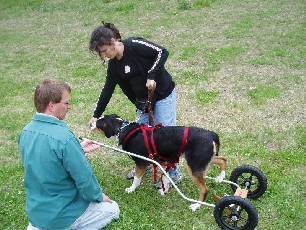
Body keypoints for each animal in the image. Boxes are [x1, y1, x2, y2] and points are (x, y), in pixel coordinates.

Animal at [93, 114, 227, 211]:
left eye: (99, 123)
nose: (91, 122)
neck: (124, 129)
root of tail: (211, 134)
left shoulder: (141, 163)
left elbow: (137, 179)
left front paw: (131, 189)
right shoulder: (162, 162)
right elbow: (165, 177)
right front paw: (164, 190)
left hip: (194, 166)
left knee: (204, 189)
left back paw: (196, 206)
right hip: (203, 159)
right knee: (223, 159)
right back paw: (220, 177)